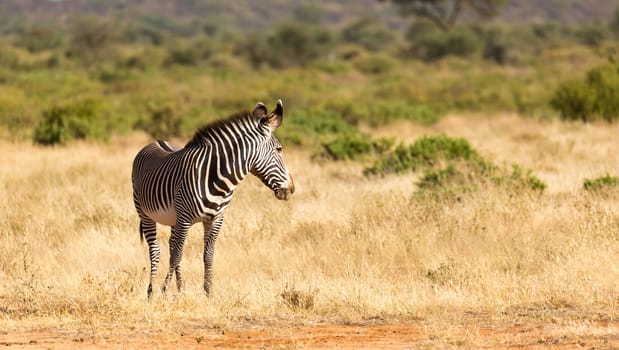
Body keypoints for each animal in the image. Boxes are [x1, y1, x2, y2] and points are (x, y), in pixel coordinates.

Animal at [131, 99, 296, 298]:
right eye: (279, 149)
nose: (291, 188)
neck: (217, 178)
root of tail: (156, 141)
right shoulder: (184, 218)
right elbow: (177, 255)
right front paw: (164, 291)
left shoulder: (216, 218)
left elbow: (208, 255)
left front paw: (208, 292)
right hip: (144, 212)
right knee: (156, 250)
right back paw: (151, 292)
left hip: (173, 218)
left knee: (171, 245)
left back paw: (180, 288)